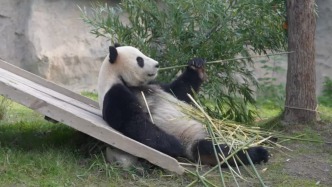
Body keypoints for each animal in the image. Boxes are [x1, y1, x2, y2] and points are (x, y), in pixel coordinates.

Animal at [96, 44, 268, 167]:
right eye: (140, 60)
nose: (157, 65)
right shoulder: (115, 93)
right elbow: (133, 122)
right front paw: (173, 145)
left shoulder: (157, 86)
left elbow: (180, 91)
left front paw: (196, 65)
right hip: (192, 139)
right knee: (218, 151)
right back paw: (256, 153)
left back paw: (261, 146)